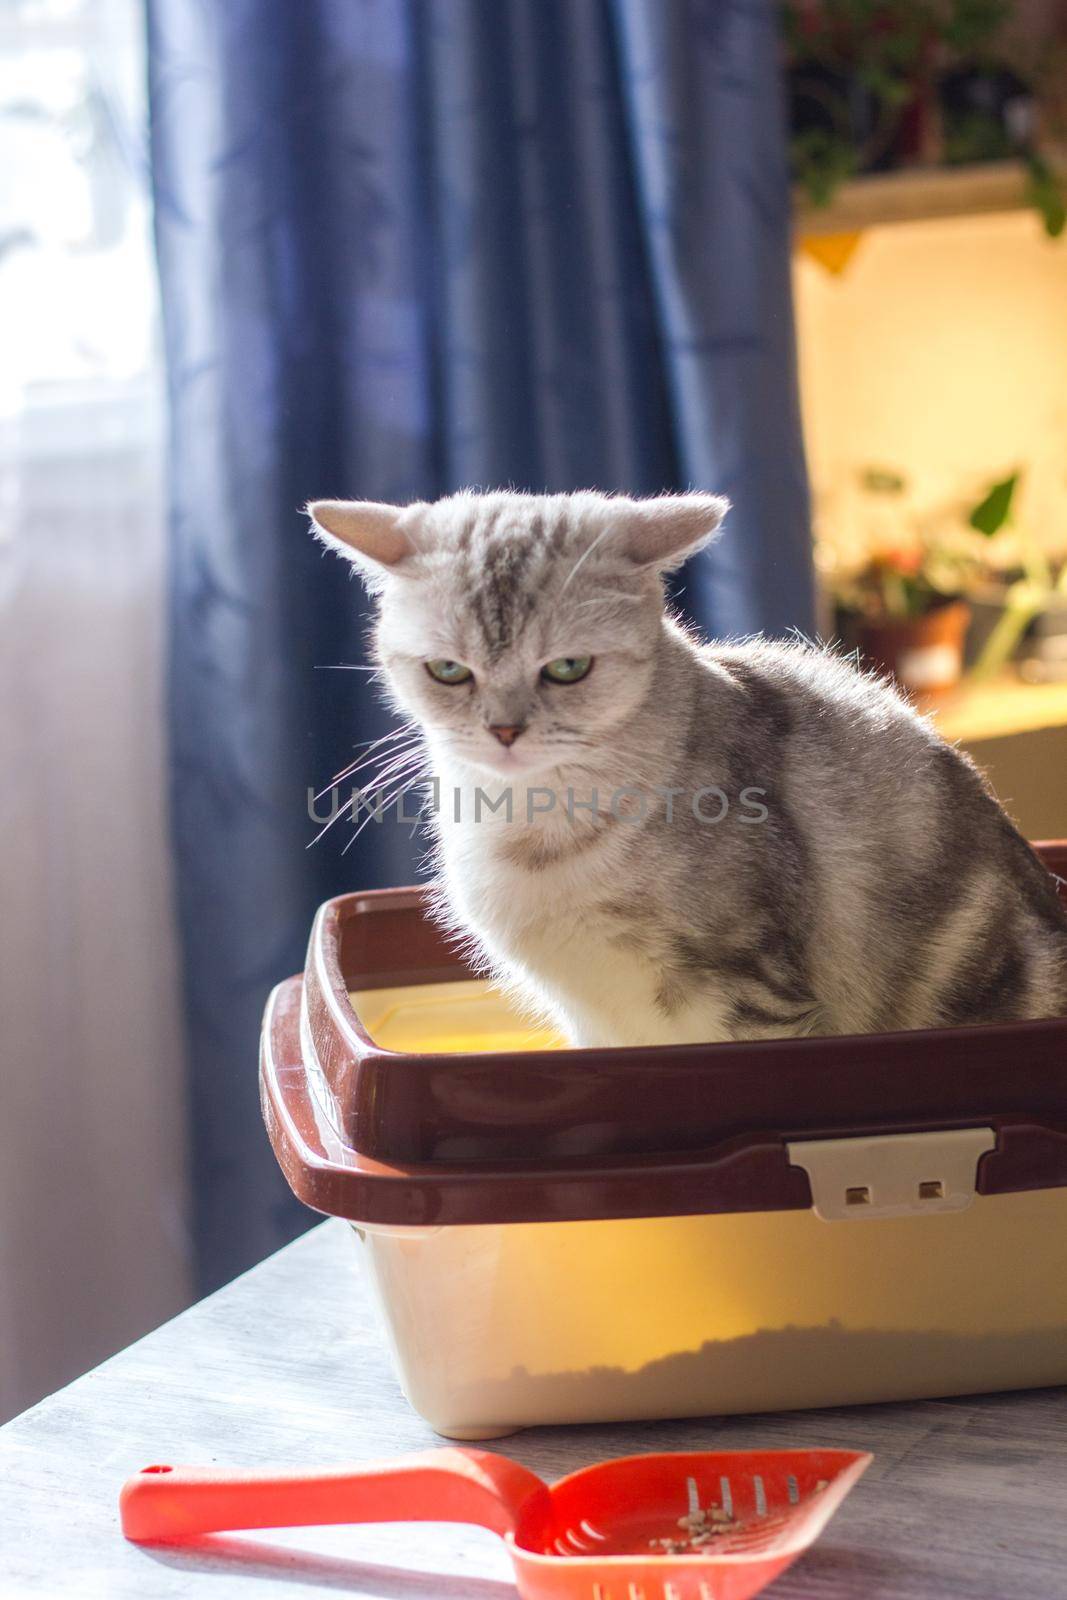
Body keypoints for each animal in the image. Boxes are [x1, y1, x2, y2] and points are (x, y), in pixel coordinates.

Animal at [307, 489, 1067, 1049]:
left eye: (567, 667)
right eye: (448, 671)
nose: (504, 730)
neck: (531, 826)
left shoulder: (750, 991)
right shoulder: (590, 1023)